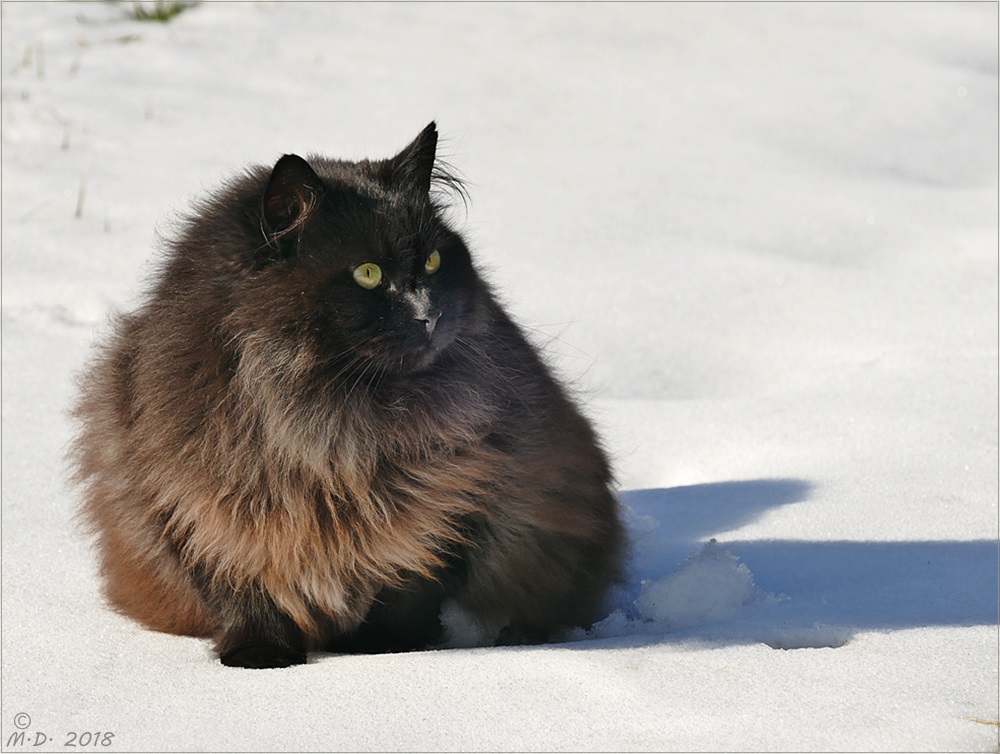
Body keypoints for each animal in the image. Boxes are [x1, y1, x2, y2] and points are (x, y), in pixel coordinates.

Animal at [74, 125, 624, 668]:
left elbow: (406, 588)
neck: (331, 424)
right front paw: (259, 655)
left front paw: (375, 652)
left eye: (433, 261)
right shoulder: (193, 503)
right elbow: (244, 588)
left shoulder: (454, 499)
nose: (429, 315)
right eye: (368, 274)